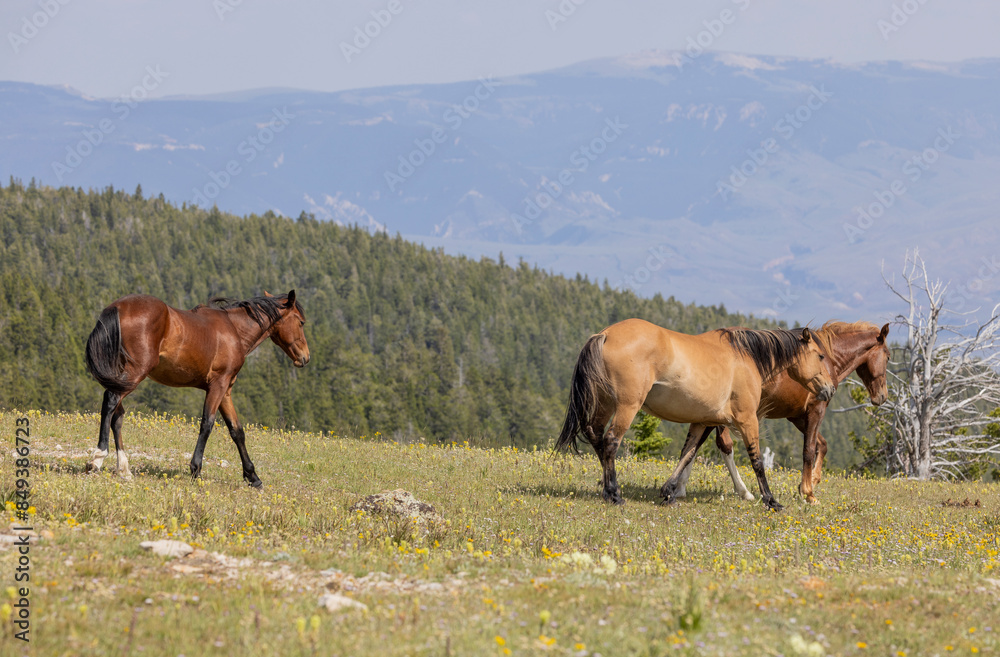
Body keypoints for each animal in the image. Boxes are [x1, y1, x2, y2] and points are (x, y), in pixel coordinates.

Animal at [83, 291, 309, 488]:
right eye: (301, 322)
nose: (305, 357)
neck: (234, 330)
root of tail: (117, 307)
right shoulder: (218, 385)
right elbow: (207, 424)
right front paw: (196, 469)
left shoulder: (225, 391)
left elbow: (237, 431)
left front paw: (253, 477)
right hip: (134, 373)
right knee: (110, 402)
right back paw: (98, 457)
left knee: (117, 416)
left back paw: (124, 469)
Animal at [555, 319, 836, 511]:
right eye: (820, 355)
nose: (829, 389)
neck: (746, 357)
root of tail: (605, 334)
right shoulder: (747, 420)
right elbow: (757, 461)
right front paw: (770, 500)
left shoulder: (702, 421)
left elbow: (687, 453)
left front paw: (669, 491)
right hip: (627, 406)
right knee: (611, 442)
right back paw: (614, 494)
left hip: (605, 404)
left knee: (596, 437)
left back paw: (607, 490)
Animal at [669, 321, 889, 504]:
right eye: (888, 356)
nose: (882, 396)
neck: (828, 360)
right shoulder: (816, 409)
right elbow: (809, 449)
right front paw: (809, 493)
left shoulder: (797, 416)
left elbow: (822, 445)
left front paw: (811, 481)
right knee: (722, 445)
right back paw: (740, 491)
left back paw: (681, 488)